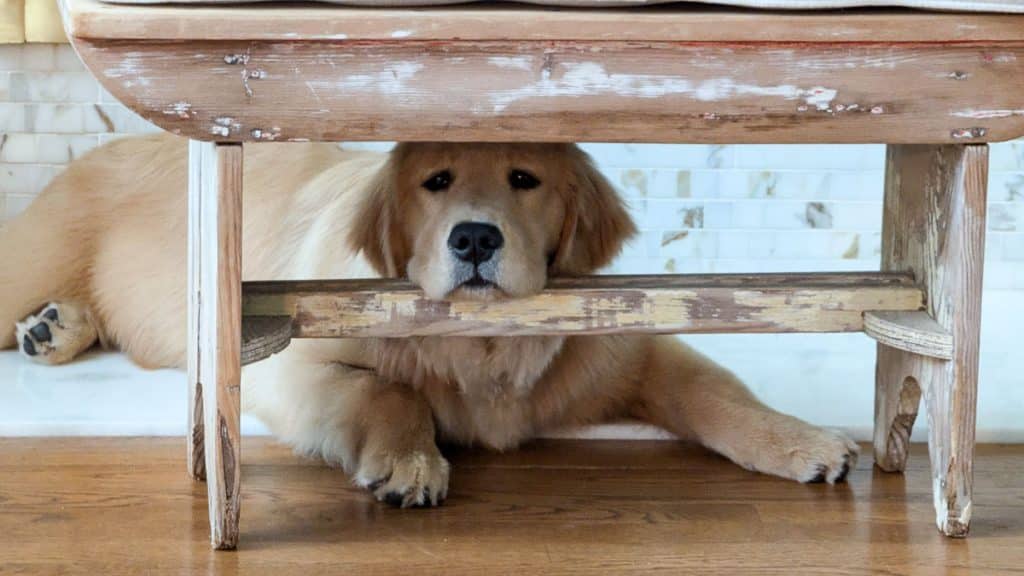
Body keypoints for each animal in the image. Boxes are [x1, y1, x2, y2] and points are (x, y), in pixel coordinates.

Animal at [0, 134, 856, 506]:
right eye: (436, 181)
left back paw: (57, 328)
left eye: (524, 179)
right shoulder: (292, 368)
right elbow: (392, 391)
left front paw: (804, 440)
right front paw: (410, 462)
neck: (482, 347)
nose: (475, 238)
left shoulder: (632, 351)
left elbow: (720, 394)